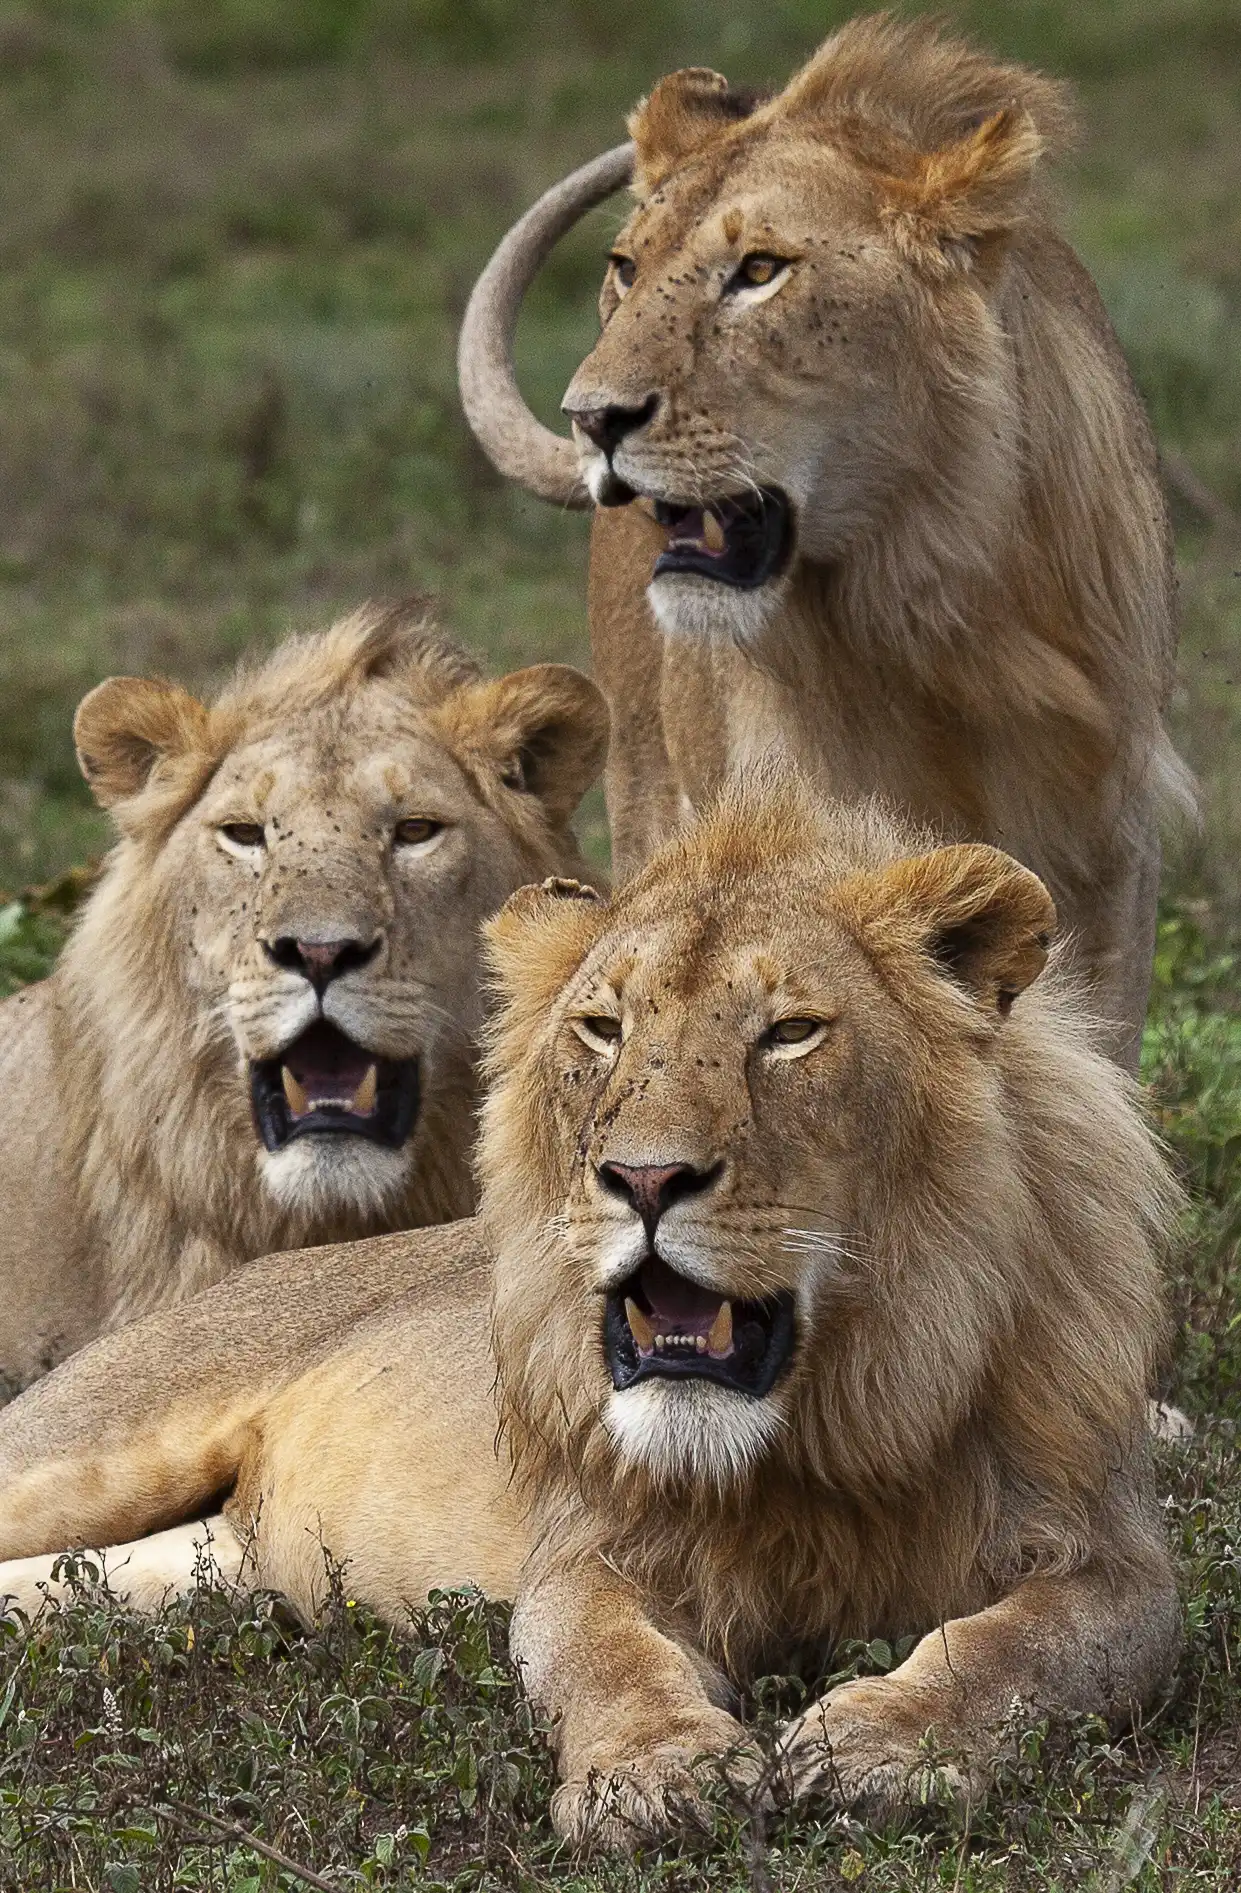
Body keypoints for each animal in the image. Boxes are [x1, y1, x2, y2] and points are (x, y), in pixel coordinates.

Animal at [0, 778, 1180, 1847]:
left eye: (791, 1032)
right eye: (603, 1030)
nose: (645, 1179)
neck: (816, 1435)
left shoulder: (1109, 1559)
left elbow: (1007, 1650)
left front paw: (886, 1745)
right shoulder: (588, 1551)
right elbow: (608, 1657)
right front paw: (653, 1774)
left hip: (202, 1582)